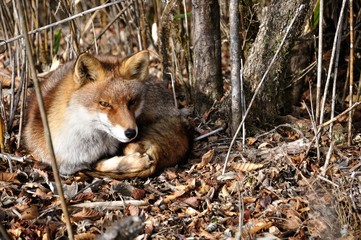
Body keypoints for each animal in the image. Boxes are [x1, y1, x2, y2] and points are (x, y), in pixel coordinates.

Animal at [23, 50, 191, 178]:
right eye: (104, 104)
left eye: (132, 102)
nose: (131, 133)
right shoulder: (66, 166)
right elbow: (98, 165)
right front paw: (130, 162)